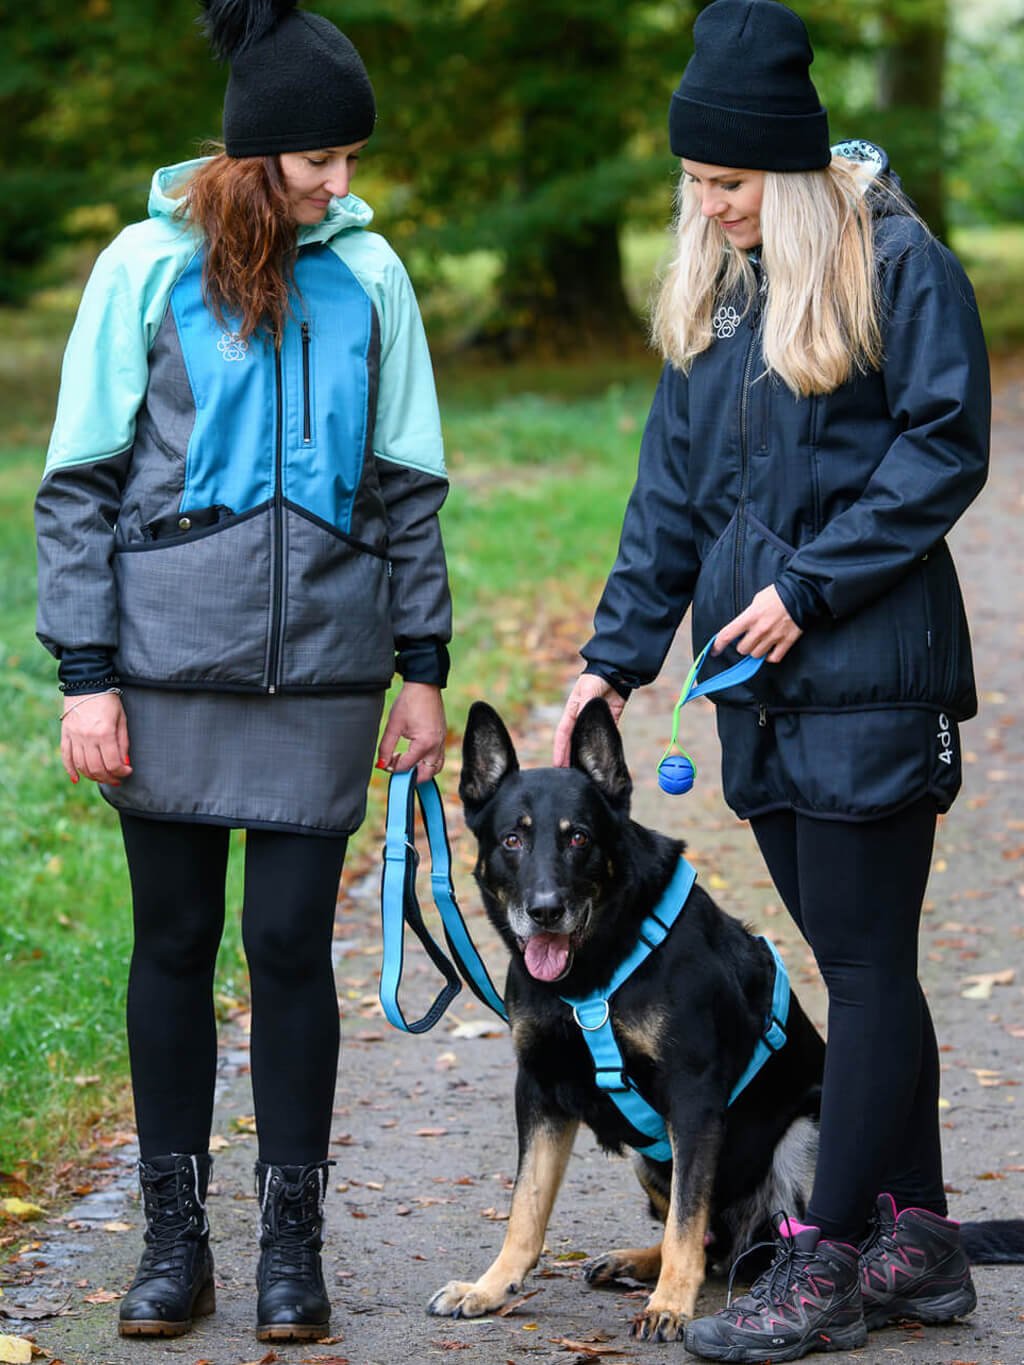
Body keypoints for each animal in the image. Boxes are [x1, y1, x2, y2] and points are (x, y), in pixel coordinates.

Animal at [428, 704, 830, 1343]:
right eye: (512, 840)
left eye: (579, 838)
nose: (545, 911)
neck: (590, 976)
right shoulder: (539, 1091)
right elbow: (525, 1210)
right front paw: (491, 1288)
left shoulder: (693, 1101)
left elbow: (686, 1220)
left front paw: (671, 1306)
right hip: (651, 1157)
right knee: (712, 1243)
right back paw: (635, 1262)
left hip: (801, 1137)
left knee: (740, 1236)